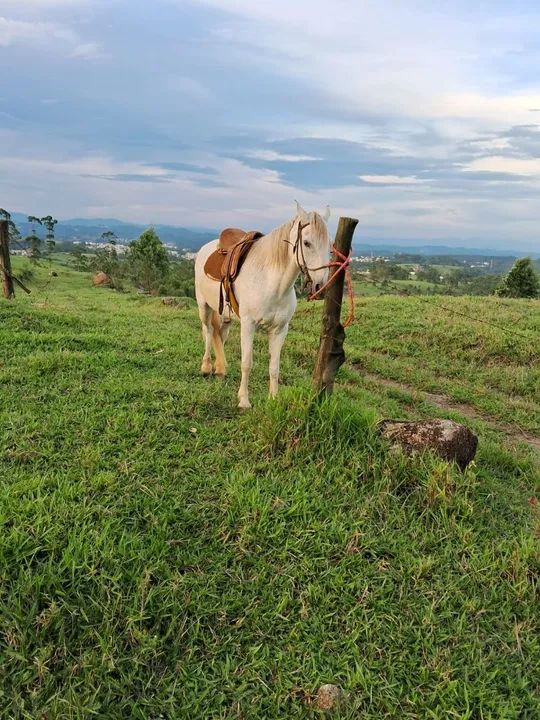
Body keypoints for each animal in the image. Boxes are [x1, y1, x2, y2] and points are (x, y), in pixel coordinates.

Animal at [194, 202, 331, 408]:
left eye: (330, 246)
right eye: (307, 243)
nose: (320, 287)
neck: (271, 283)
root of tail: (206, 248)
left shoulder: (280, 330)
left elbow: (274, 366)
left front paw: (273, 398)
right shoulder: (248, 325)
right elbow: (246, 363)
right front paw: (243, 400)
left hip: (226, 315)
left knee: (220, 335)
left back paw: (220, 368)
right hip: (204, 307)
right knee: (208, 331)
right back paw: (206, 366)